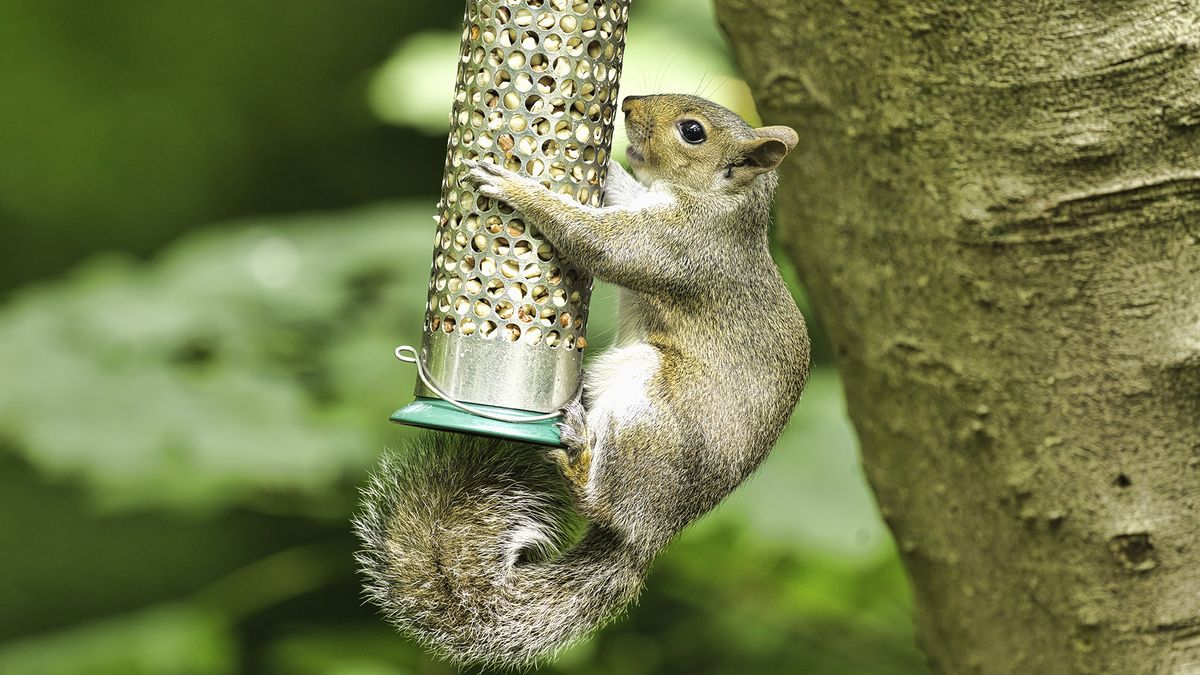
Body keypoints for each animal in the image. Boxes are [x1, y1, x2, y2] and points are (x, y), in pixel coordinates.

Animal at [354, 94, 811, 667]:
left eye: (693, 132)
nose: (630, 103)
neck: (718, 205)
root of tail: (651, 532)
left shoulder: (675, 247)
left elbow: (597, 243)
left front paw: (515, 187)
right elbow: (621, 189)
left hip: (647, 403)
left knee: (599, 497)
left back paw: (577, 452)